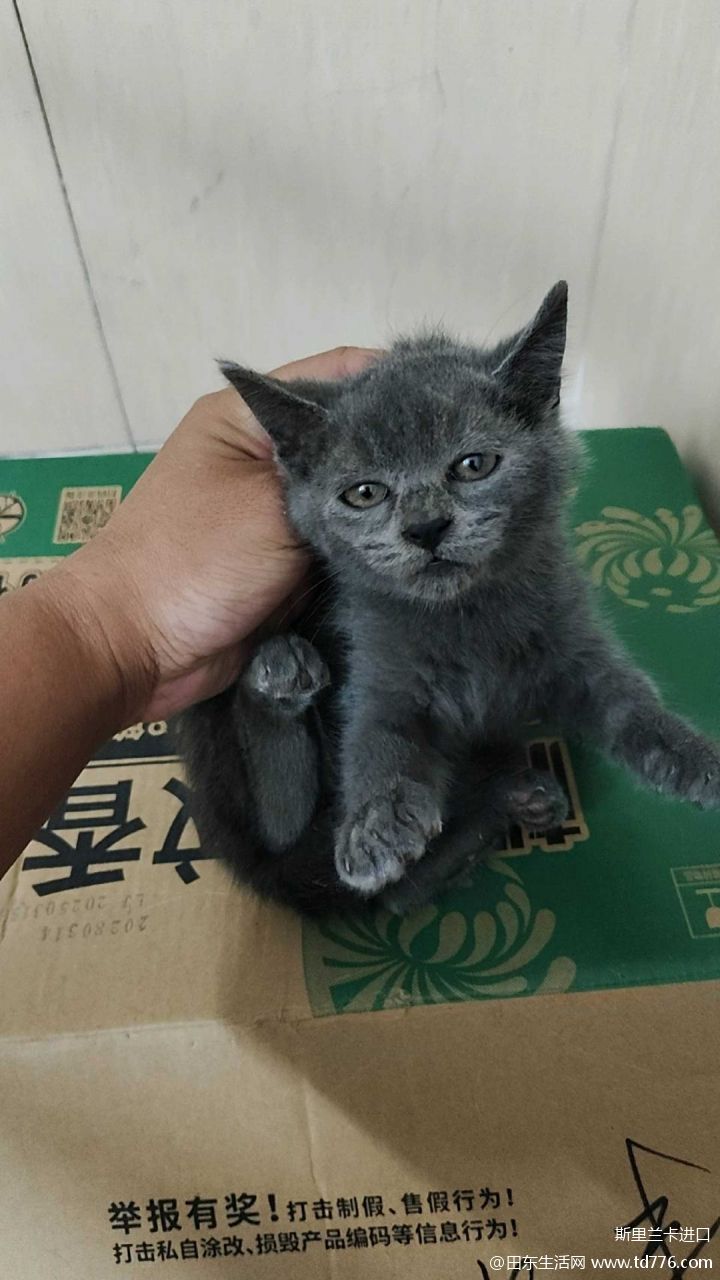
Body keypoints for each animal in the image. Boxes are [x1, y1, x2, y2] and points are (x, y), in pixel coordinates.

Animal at [179, 282, 720, 916]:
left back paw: (517, 802)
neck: (464, 616)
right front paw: (376, 822)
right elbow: (377, 736)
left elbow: (625, 697)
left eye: (473, 464)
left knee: (398, 896)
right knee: (283, 834)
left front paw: (692, 756)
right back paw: (282, 672)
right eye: (365, 493)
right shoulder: (377, 658)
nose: (426, 527)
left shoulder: (571, 633)